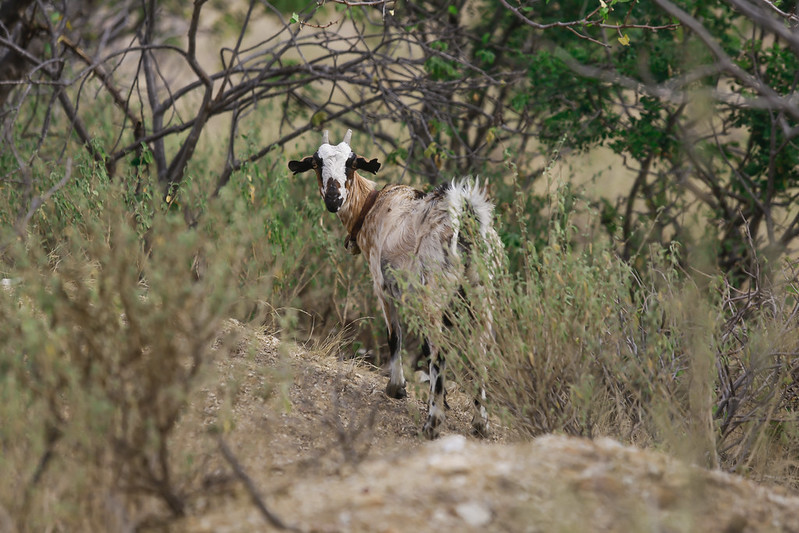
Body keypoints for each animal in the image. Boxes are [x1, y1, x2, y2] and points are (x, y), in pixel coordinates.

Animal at [288, 128, 500, 436]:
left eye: (351, 164)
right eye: (317, 163)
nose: (333, 198)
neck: (371, 206)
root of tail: (466, 218)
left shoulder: (384, 286)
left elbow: (395, 336)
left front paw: (397, 388)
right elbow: (423, 346)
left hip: (436, 291)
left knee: (440, 351)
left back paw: (432, 424)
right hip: (482, 295)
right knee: (480, 353)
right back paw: (480, 423)